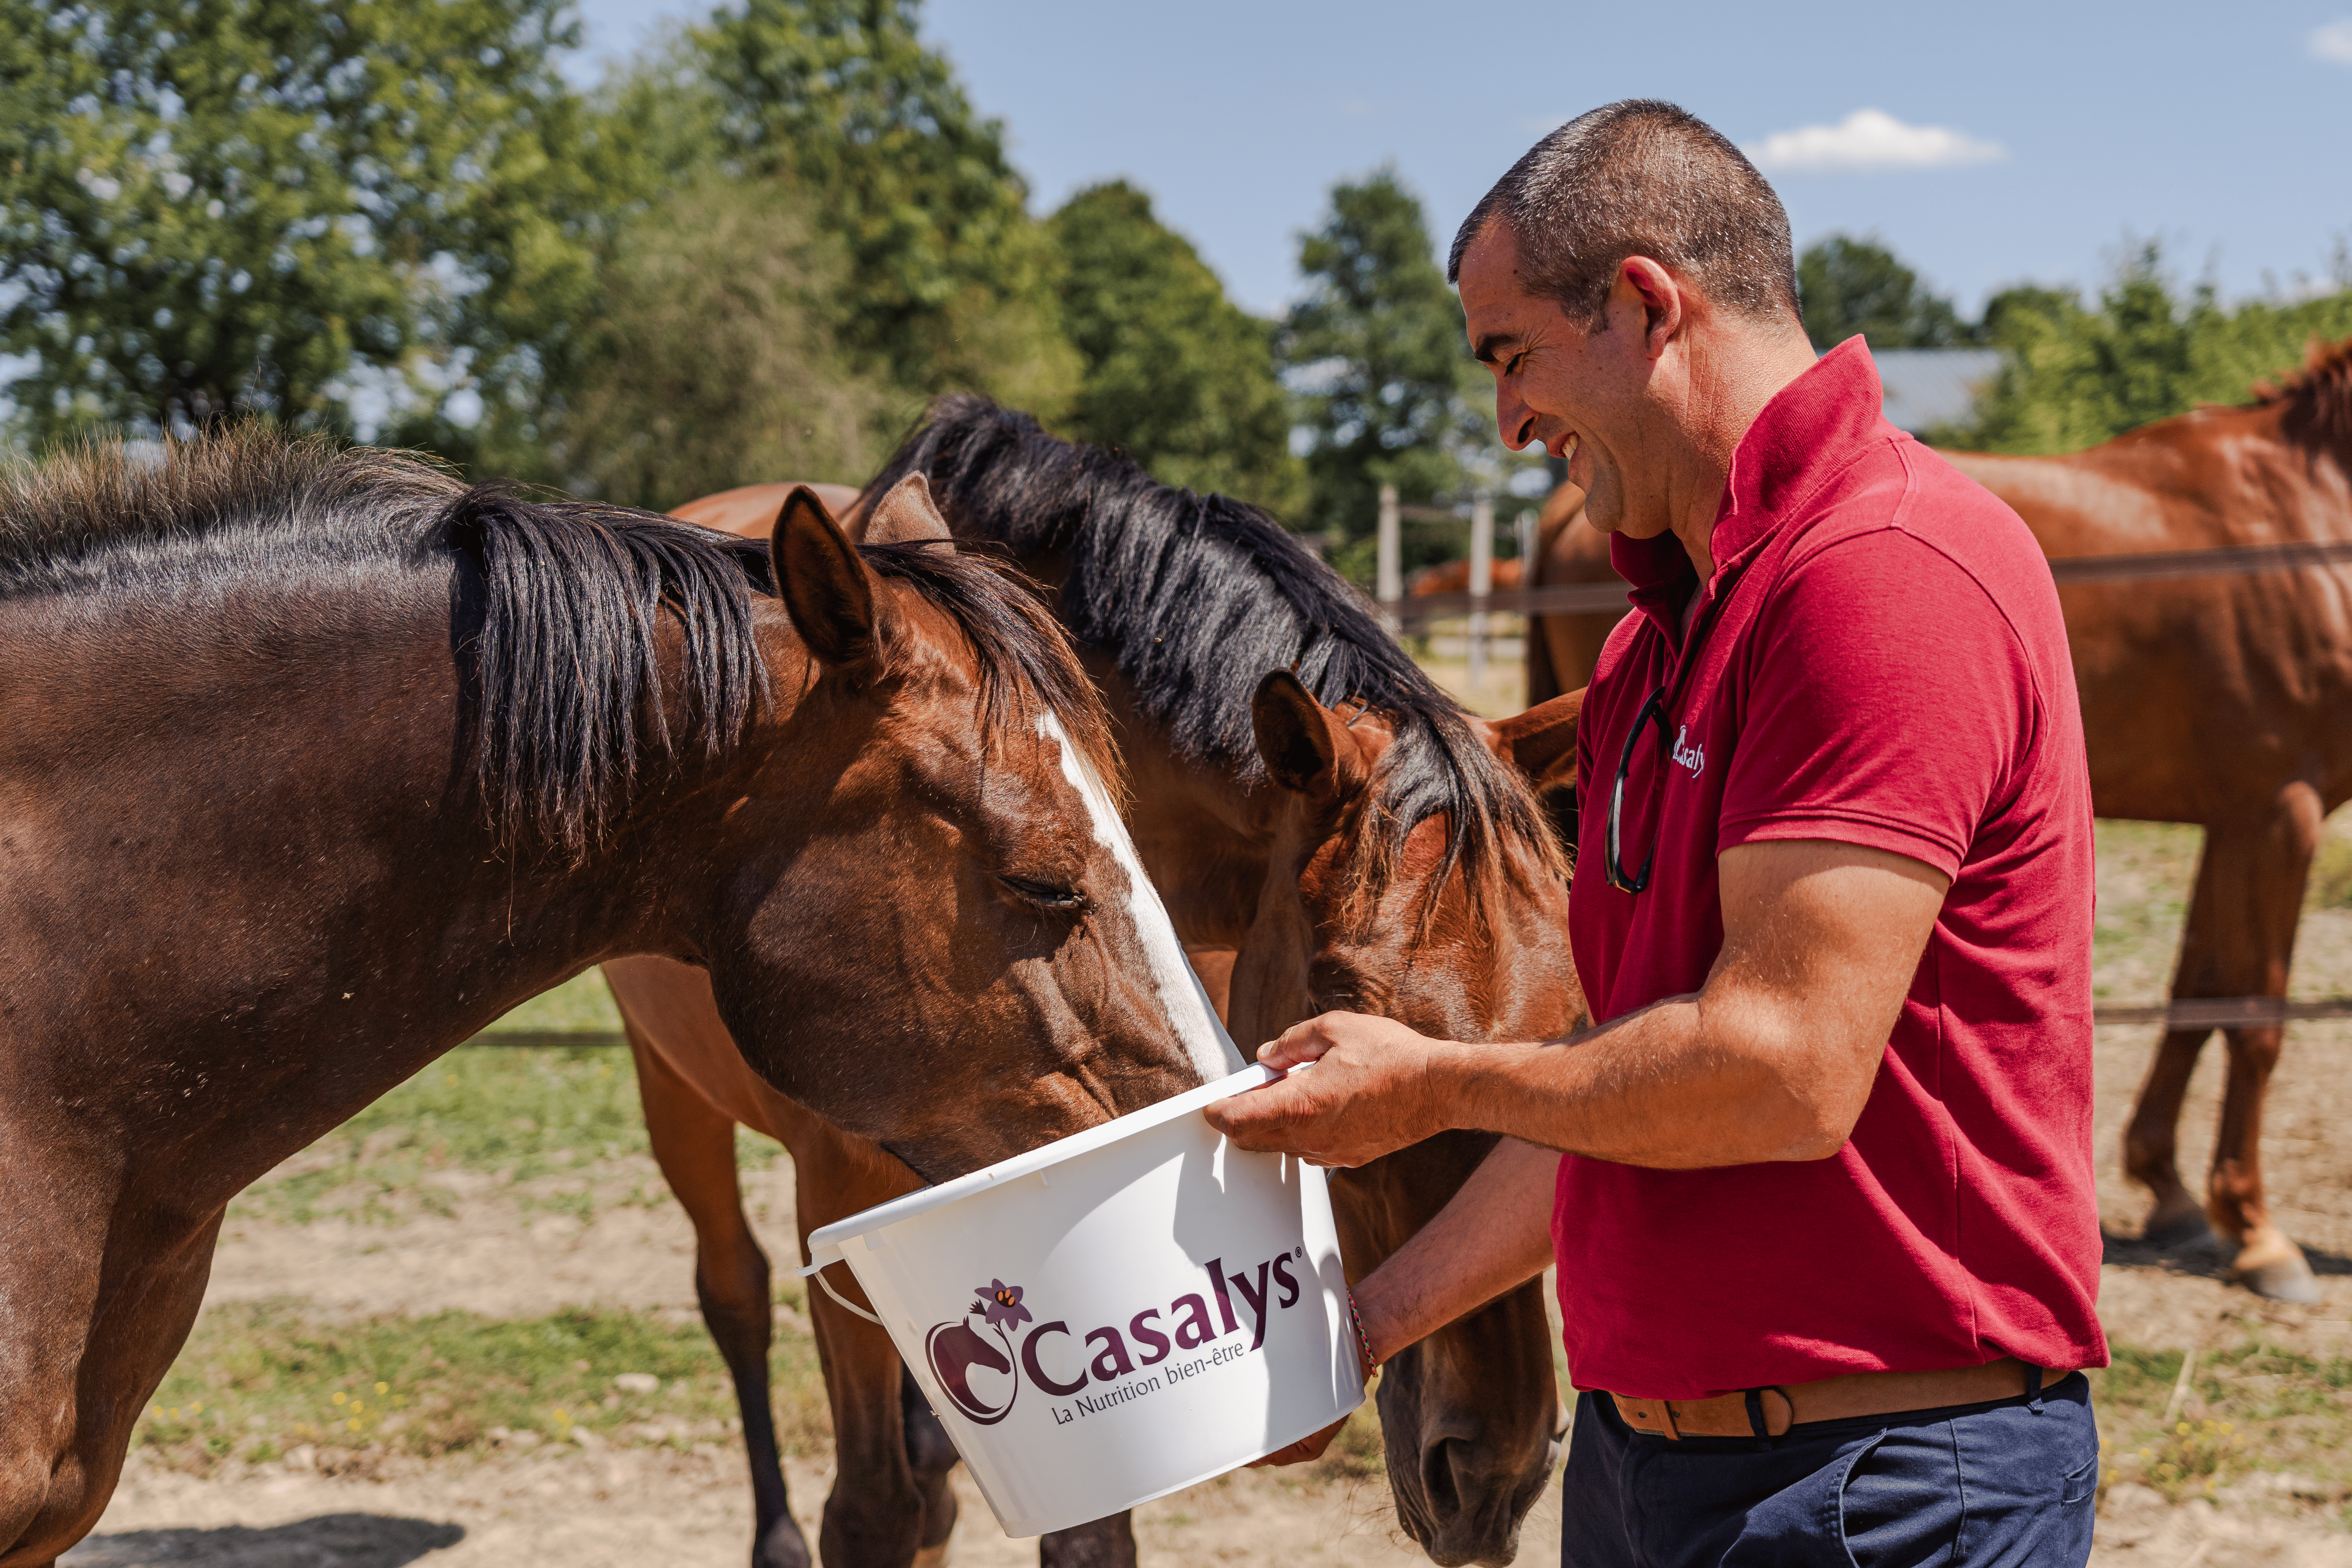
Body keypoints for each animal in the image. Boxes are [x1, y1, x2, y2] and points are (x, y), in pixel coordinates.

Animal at [616, 400, 1590, 1568]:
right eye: (1348, 1013)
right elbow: (872, 1509)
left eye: (1569, 1020)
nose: (1495, 1472)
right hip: (669, 1088)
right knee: (736, 1296)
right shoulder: (840, 1200)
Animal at [1524, 338, 2352, 1307]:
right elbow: (2255, 1017)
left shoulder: (2236, 814)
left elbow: (2199, 992)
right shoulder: (2277, 807)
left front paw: (2176, 1193)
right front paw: (2256, 1233)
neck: (2304, 511)